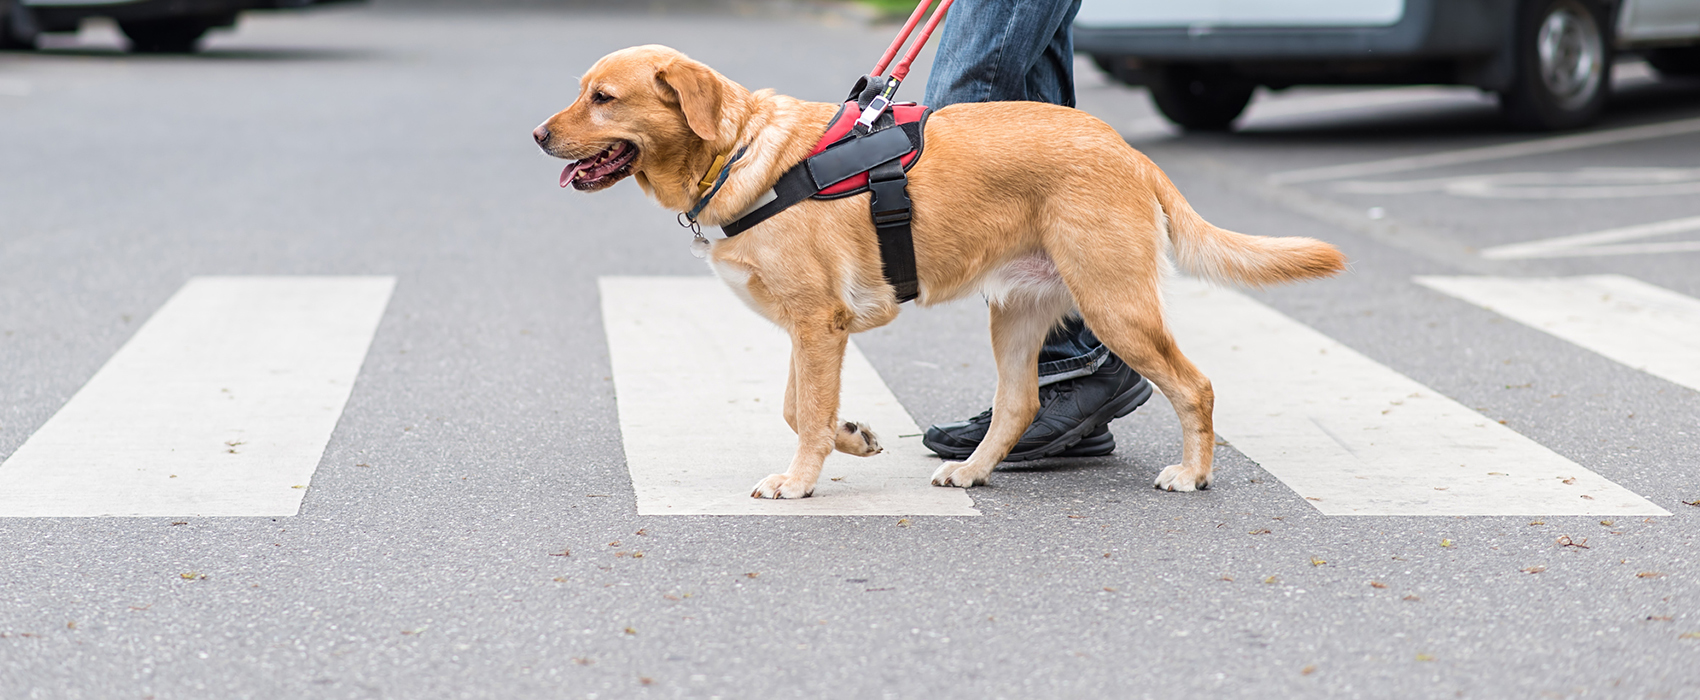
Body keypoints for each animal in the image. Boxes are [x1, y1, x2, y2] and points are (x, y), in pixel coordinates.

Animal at [530, 43, 1339, 499]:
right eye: (581, 90)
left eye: (604, 99)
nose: (536, 135)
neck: (739, 150)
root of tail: (1125, 148)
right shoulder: (808, 327)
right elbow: (800, 409)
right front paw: (852, 437)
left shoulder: (817, 323)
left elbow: (804, 415)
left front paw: (799, 480)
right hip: (1015, 313)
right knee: (1020, 405)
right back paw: (972, 471)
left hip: (1115, 303)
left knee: (1193, 386)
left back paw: (1193, 474)